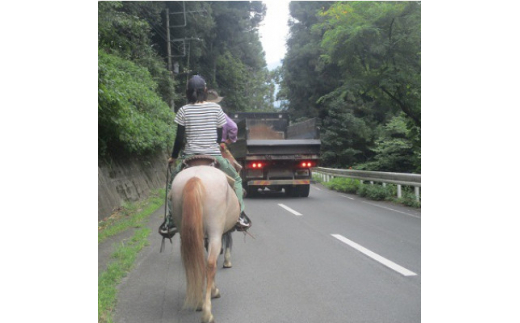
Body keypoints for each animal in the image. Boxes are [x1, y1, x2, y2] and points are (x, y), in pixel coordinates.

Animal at [169, 166, 240, 322]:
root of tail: (195, 177)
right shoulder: (219, 233)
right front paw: (214, 290)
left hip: (186, 230)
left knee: (195, 263)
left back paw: (199, 302)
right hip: (215, 232)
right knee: (210, 264)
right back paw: (207, 312)